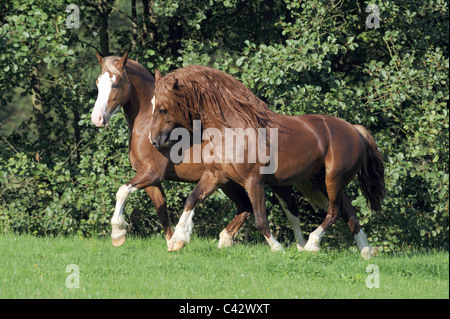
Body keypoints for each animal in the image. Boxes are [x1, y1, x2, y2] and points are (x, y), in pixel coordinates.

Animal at [91, 53, 310, 251]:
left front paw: (118, 233)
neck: (146, 127)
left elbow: (122, 191)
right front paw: (173, 242)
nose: (97, 118)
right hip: (231, 183)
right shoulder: (152, 181)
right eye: (98, 83)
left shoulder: (152, 173)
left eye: (116, 83)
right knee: (248, 208)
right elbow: (162, 213)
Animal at [149, 65, 384, 260]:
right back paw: (366, 252)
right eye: (152, 106)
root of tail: (355, 130)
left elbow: (261, 219)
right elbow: (192, 199)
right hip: (324, 182)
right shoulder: (216, 176)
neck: (232, 130)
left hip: (334, 180)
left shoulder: (254, 182)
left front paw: (276, 247)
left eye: (162, 109)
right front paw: (177, 240)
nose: (154, 141)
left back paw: (312, 245)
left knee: (334, 212)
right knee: (349, 213)